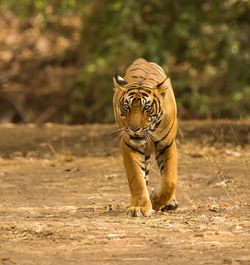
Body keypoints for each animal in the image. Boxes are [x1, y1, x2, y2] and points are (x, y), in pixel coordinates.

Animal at [113, 58, 178, 217]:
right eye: (127, 107)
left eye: (146, 108)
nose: (134, 129)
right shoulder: (129, 145)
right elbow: (137, 178)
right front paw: (140, 207)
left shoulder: (167, 144)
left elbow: (169, 179)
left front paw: (156, 200)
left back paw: (170, 202)